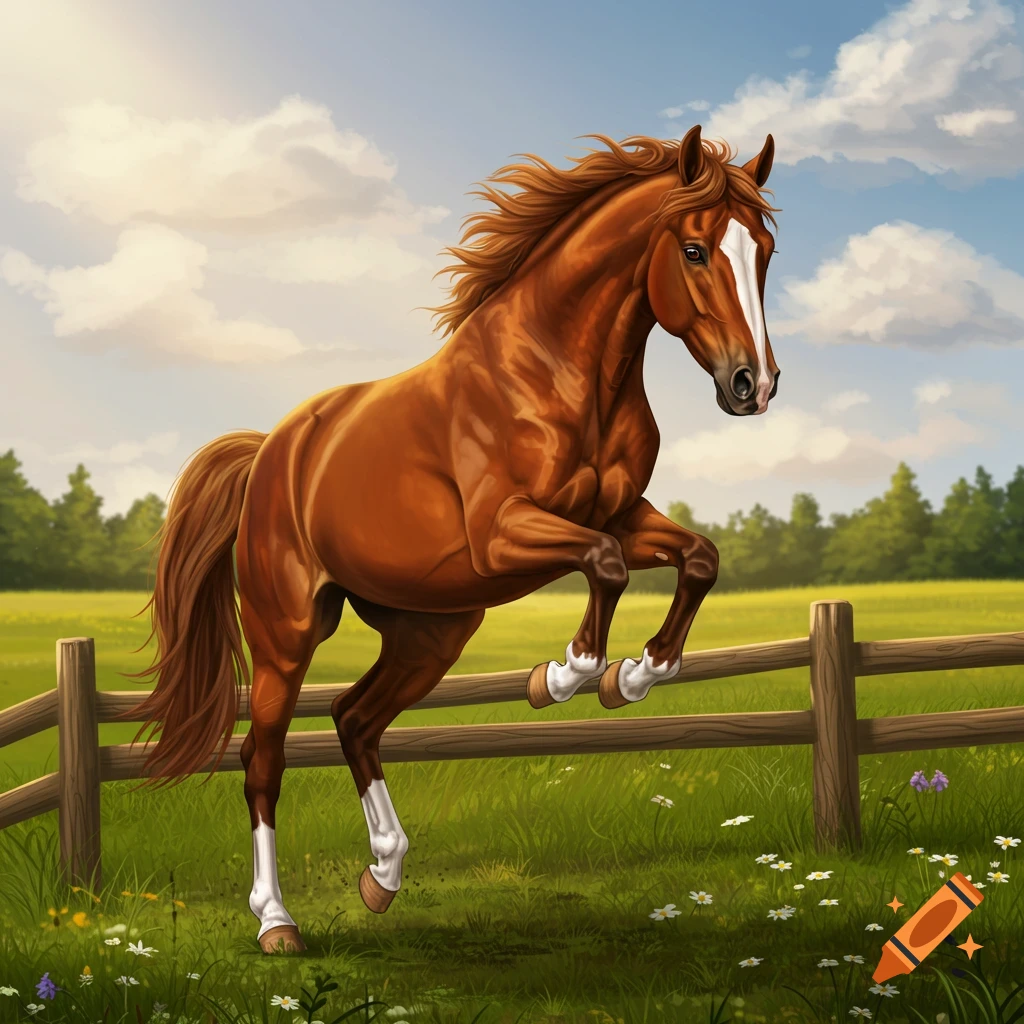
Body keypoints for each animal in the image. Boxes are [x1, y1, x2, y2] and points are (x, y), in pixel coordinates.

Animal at [128, 124, 781, 954]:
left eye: (765, 249)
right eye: (695, 250)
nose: (754, 385)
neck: (558, 373)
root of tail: (271, 451)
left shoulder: (623, 515)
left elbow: (699, 558)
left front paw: (633, 676)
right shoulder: (503, 535)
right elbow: (604, 570)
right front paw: (562, 676)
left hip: (429, 632)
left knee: (355, 720)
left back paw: (383, 876)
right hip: (288, 629)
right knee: (262, 757)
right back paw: (277, 922)